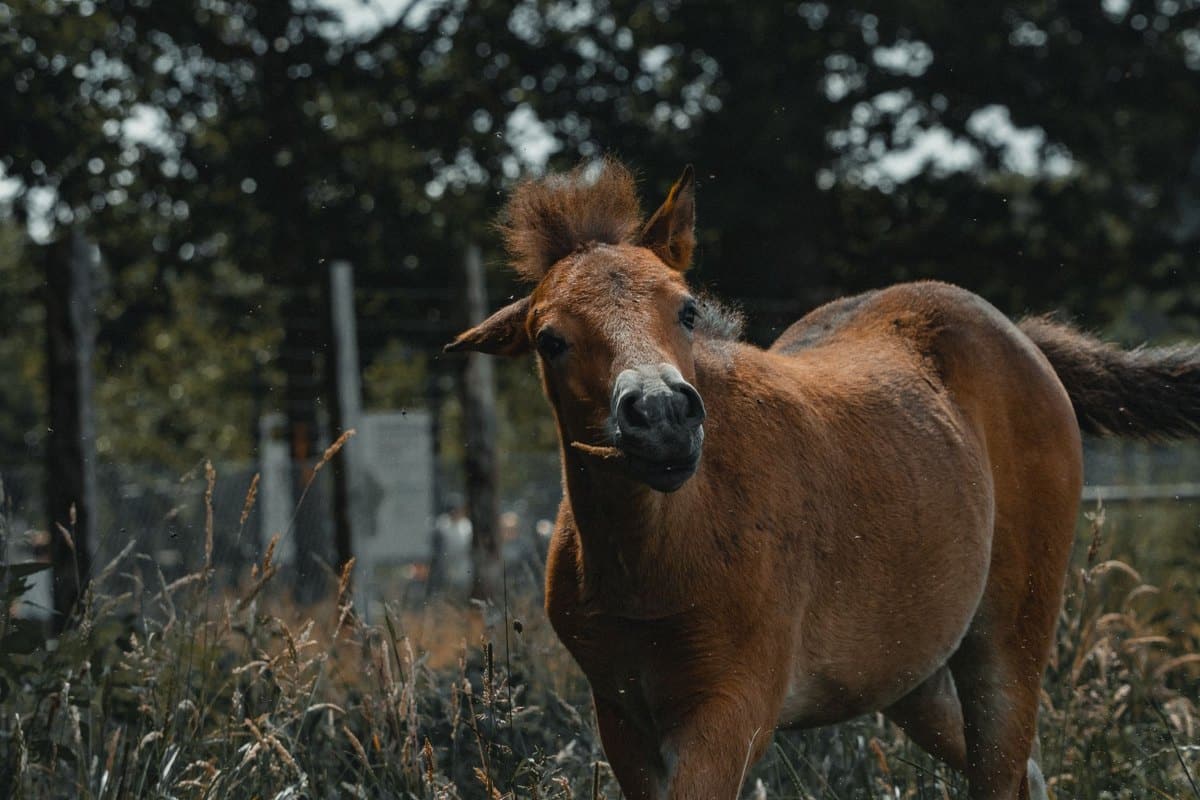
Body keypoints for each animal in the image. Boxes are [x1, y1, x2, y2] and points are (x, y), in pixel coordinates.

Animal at [446, 159, 1200, 799]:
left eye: (686, 309)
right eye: (550, 340)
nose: (660, 416)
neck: (659, 551)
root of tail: (1021, 339)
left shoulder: (731, 706)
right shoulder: (623, 718)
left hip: (1009, 638)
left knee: (1003, 763)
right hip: (913, 674)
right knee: (1025, 771)